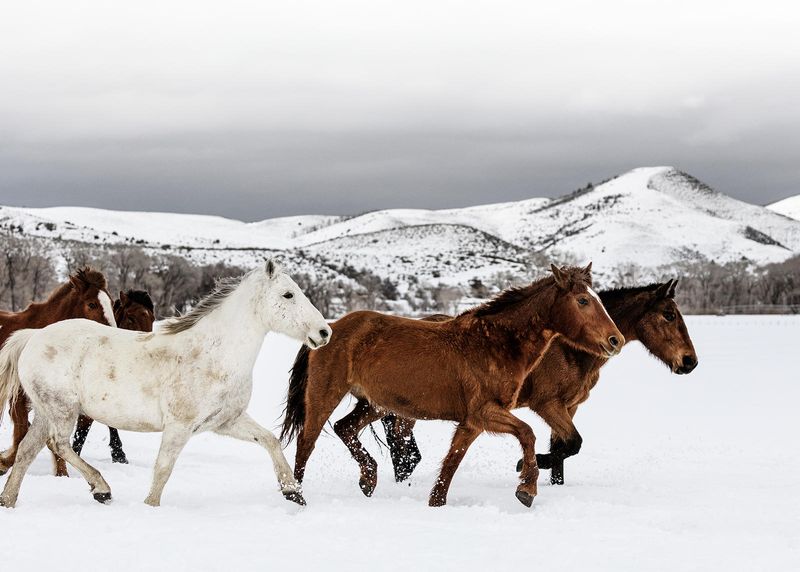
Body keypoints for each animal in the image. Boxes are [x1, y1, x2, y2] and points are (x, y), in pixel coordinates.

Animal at [0, 268, 116, 478]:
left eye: (111, 304)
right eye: (92, 304)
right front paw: (4, 462)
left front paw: (62, 474)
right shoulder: (18, 400)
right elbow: (22, 434)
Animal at [281, 264, 624, 507]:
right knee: (306, 444)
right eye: (582, 300)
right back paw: (296, 496)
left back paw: (368, 479)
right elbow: (527, 433)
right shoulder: (484, 412)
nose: (615, 340)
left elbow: (450, 466)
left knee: (344, 428)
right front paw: (526, 489)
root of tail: (328, 329)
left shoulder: (472, 422)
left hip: (375, 404)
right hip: (325, 395)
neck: (494, 343)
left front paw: (437, 504)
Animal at [378, 279, 698, 485]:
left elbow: (563, 448)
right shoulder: (548, 405)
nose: (690, 361)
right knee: (400, 444)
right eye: (669, 315)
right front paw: (526, 465)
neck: (571, 347)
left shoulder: (569, 407)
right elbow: (572, 444)